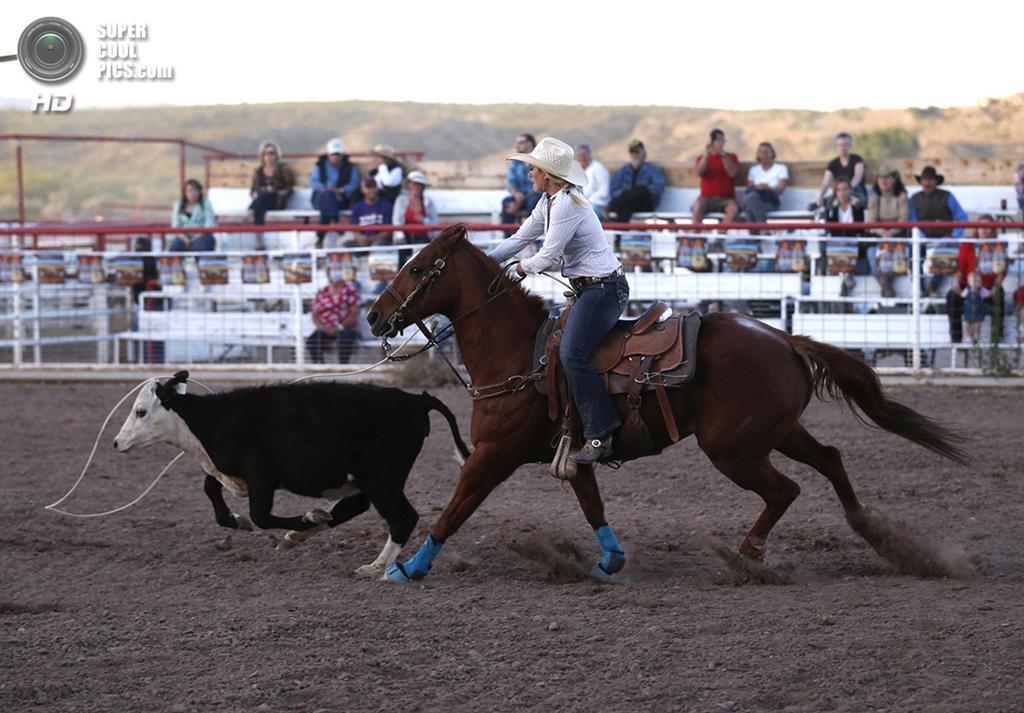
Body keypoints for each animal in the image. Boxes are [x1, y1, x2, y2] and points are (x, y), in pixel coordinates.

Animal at [366, 225, 966, 581]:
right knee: (831, 460)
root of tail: (786, 339)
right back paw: (875, 534)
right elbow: (592, 505)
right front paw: (609, 560)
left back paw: (747, 557)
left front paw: (408, 568)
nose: (374, 316)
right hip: (775, 432)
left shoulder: (493, 453)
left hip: (733, 448)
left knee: (786, 490)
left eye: (417, 268)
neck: (523, 352)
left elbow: (455, 508)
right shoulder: (575, 450)